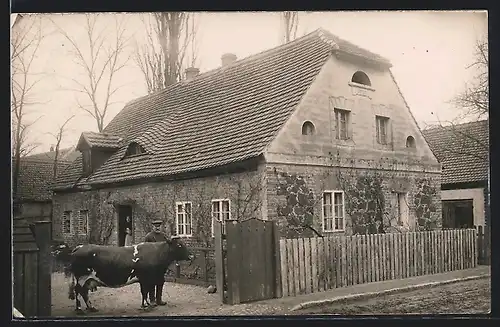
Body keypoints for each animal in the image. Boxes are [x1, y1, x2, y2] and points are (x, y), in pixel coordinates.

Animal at [51, 238, 193, 316]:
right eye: (179, 245)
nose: (192, 256)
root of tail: (78, 248)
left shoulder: (146, 279)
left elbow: (145, 292)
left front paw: (145, 305)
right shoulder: (146, 278)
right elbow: (146, 292)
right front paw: (147, 306)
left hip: (85, 279)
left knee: (84, 293)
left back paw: (92, 308)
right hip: (81, 277)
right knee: (79, 292)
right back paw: (80, 310)